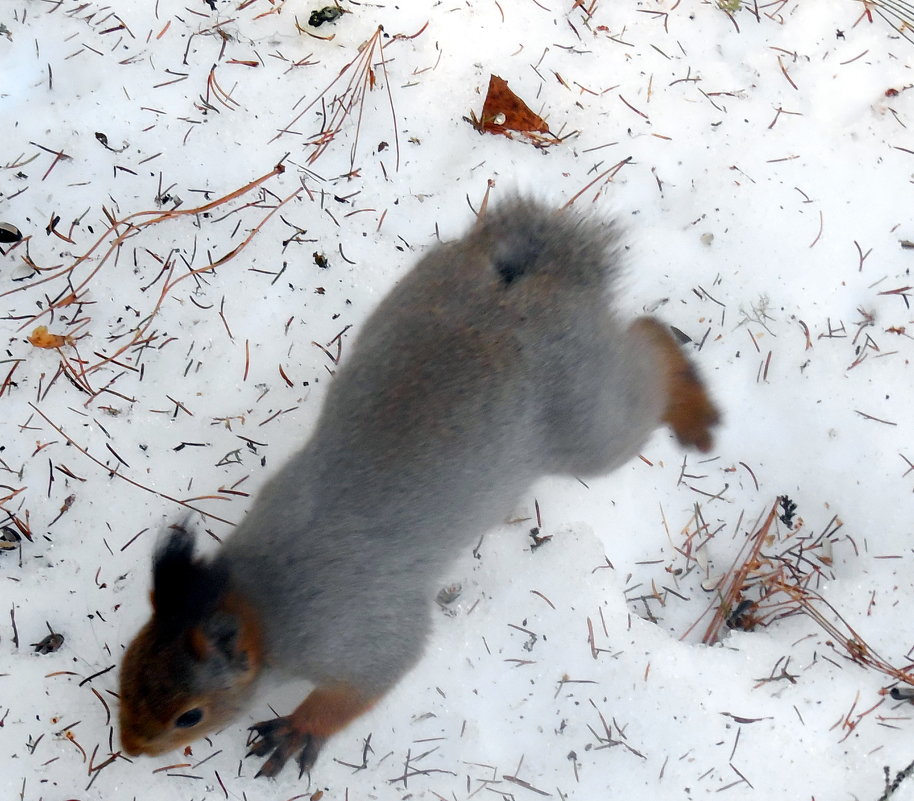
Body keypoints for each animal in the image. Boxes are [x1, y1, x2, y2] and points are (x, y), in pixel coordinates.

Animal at [117, 197, 720, 780]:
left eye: (190, 715)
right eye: (128, 664)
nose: (130, 747)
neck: (254, 597)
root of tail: (531, 279)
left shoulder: (359, 629)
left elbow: (373, 677)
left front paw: (298, 730)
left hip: (590, 423)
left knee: (647, 348)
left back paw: (692, 408)